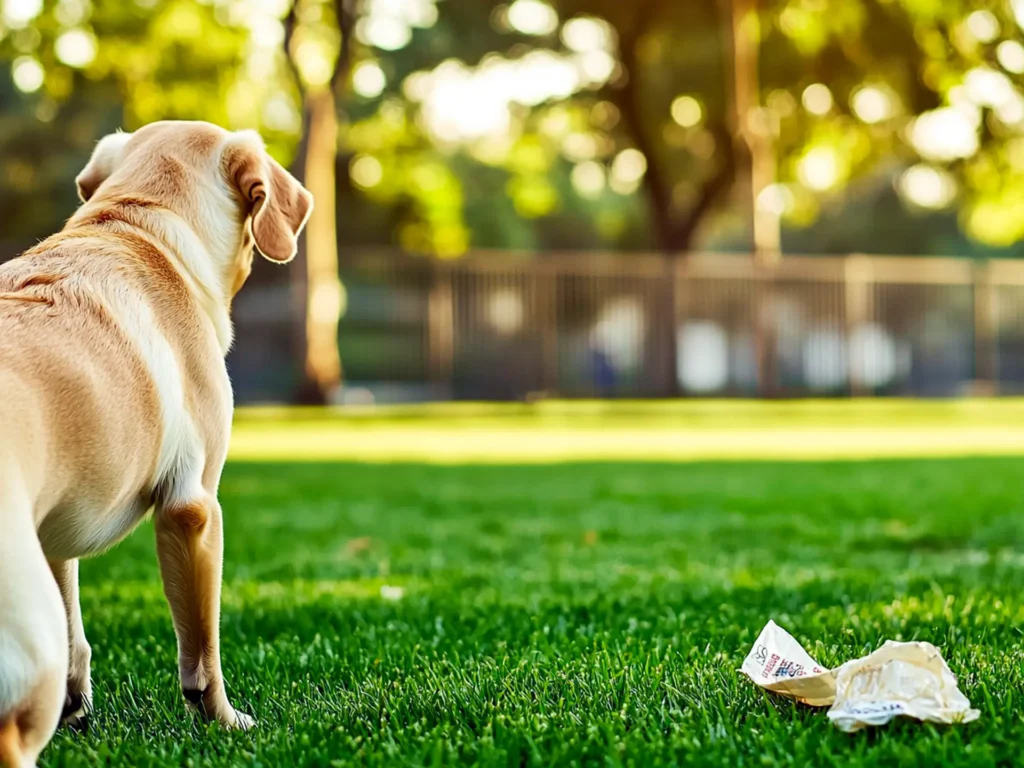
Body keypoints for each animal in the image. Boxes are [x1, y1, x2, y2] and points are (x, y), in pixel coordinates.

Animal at [0, 121, 311, 768]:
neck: (136, 225)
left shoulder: (55, 533)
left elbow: (77, 635)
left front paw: (77, 712)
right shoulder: (193, 509)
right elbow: (203, 652)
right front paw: (224, 722)